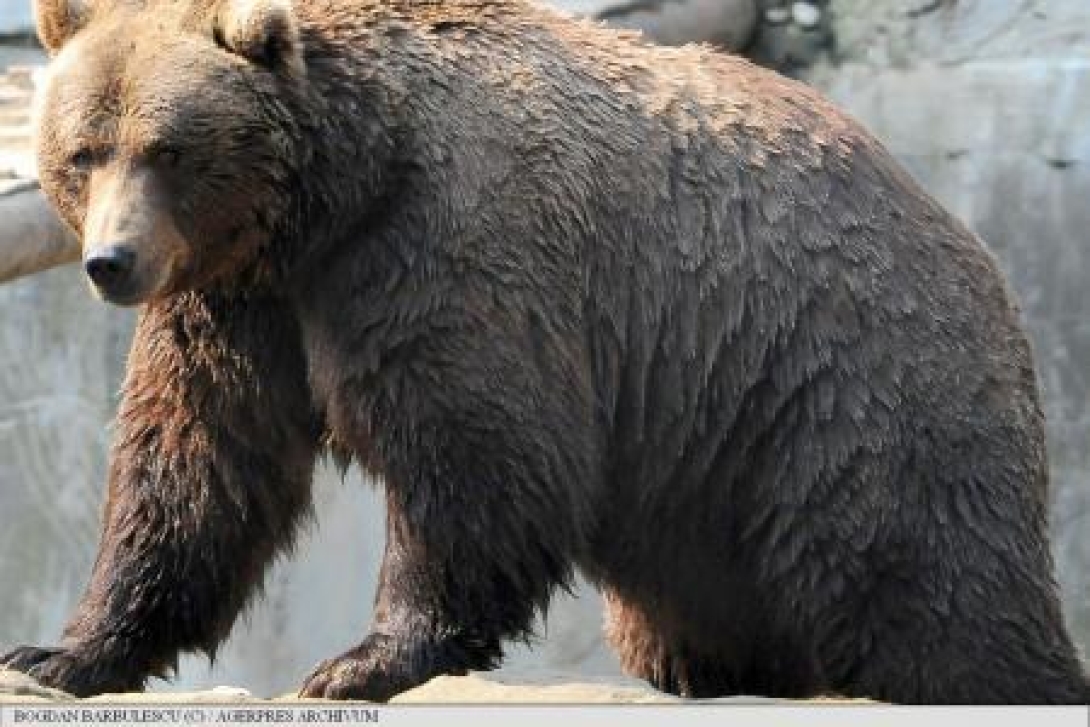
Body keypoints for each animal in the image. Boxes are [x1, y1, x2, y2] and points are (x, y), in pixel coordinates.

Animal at [2, 0, 1090, 706]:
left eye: (168, 148)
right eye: (82, 150)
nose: (110, 261)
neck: (332, 196)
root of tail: (979, 259)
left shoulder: (448, 247)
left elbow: (478, 453)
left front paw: (363, 658)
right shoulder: (241, 303)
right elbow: (197, 467)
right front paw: (61, 652)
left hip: (843, 380)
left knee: (915, 576)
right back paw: (704, 664)